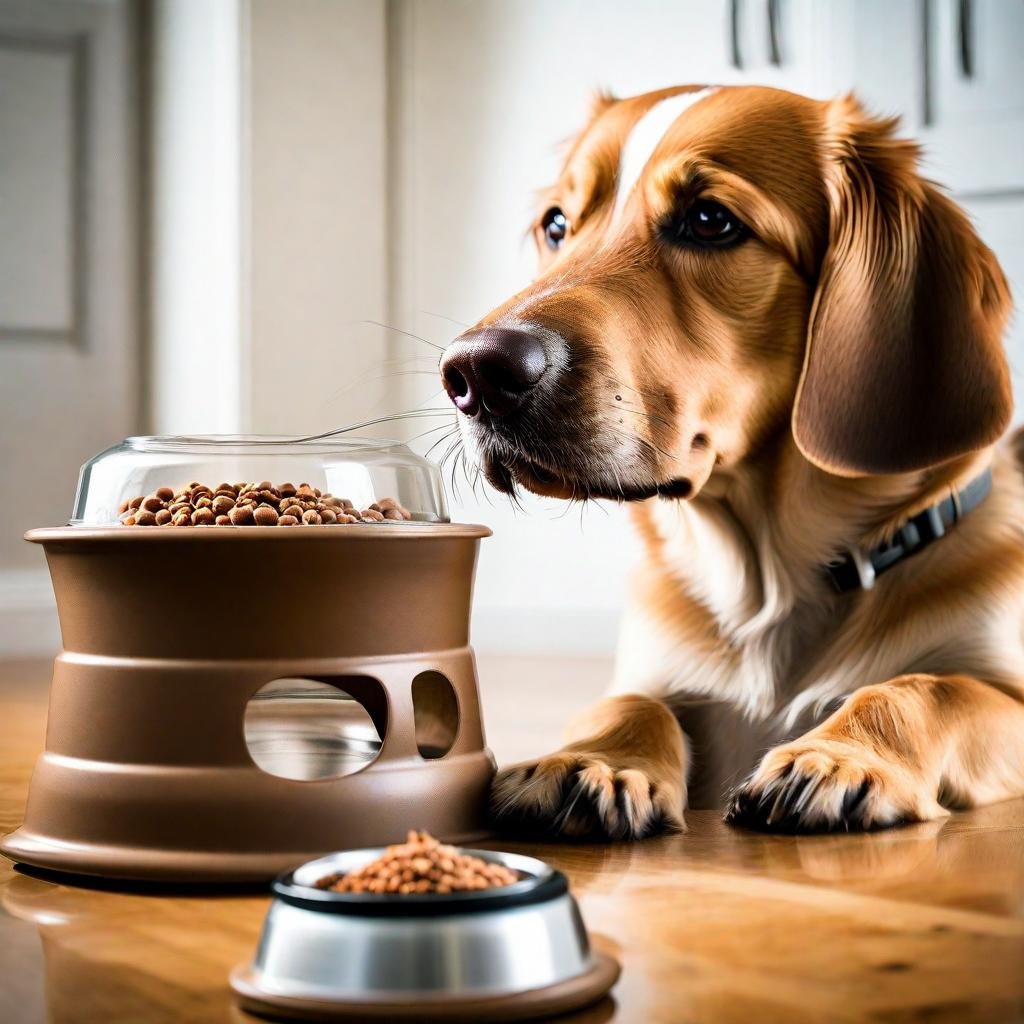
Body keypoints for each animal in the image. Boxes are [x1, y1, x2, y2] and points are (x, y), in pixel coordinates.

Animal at [440, 86, 1024, 839]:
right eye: (557, 224)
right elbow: (628, 702)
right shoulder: (653, 672)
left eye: (709, 220)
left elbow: (925, 688)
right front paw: (594, 760)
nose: (473, 372)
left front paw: (837, 757)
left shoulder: (1004, 691)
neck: (768, 588)